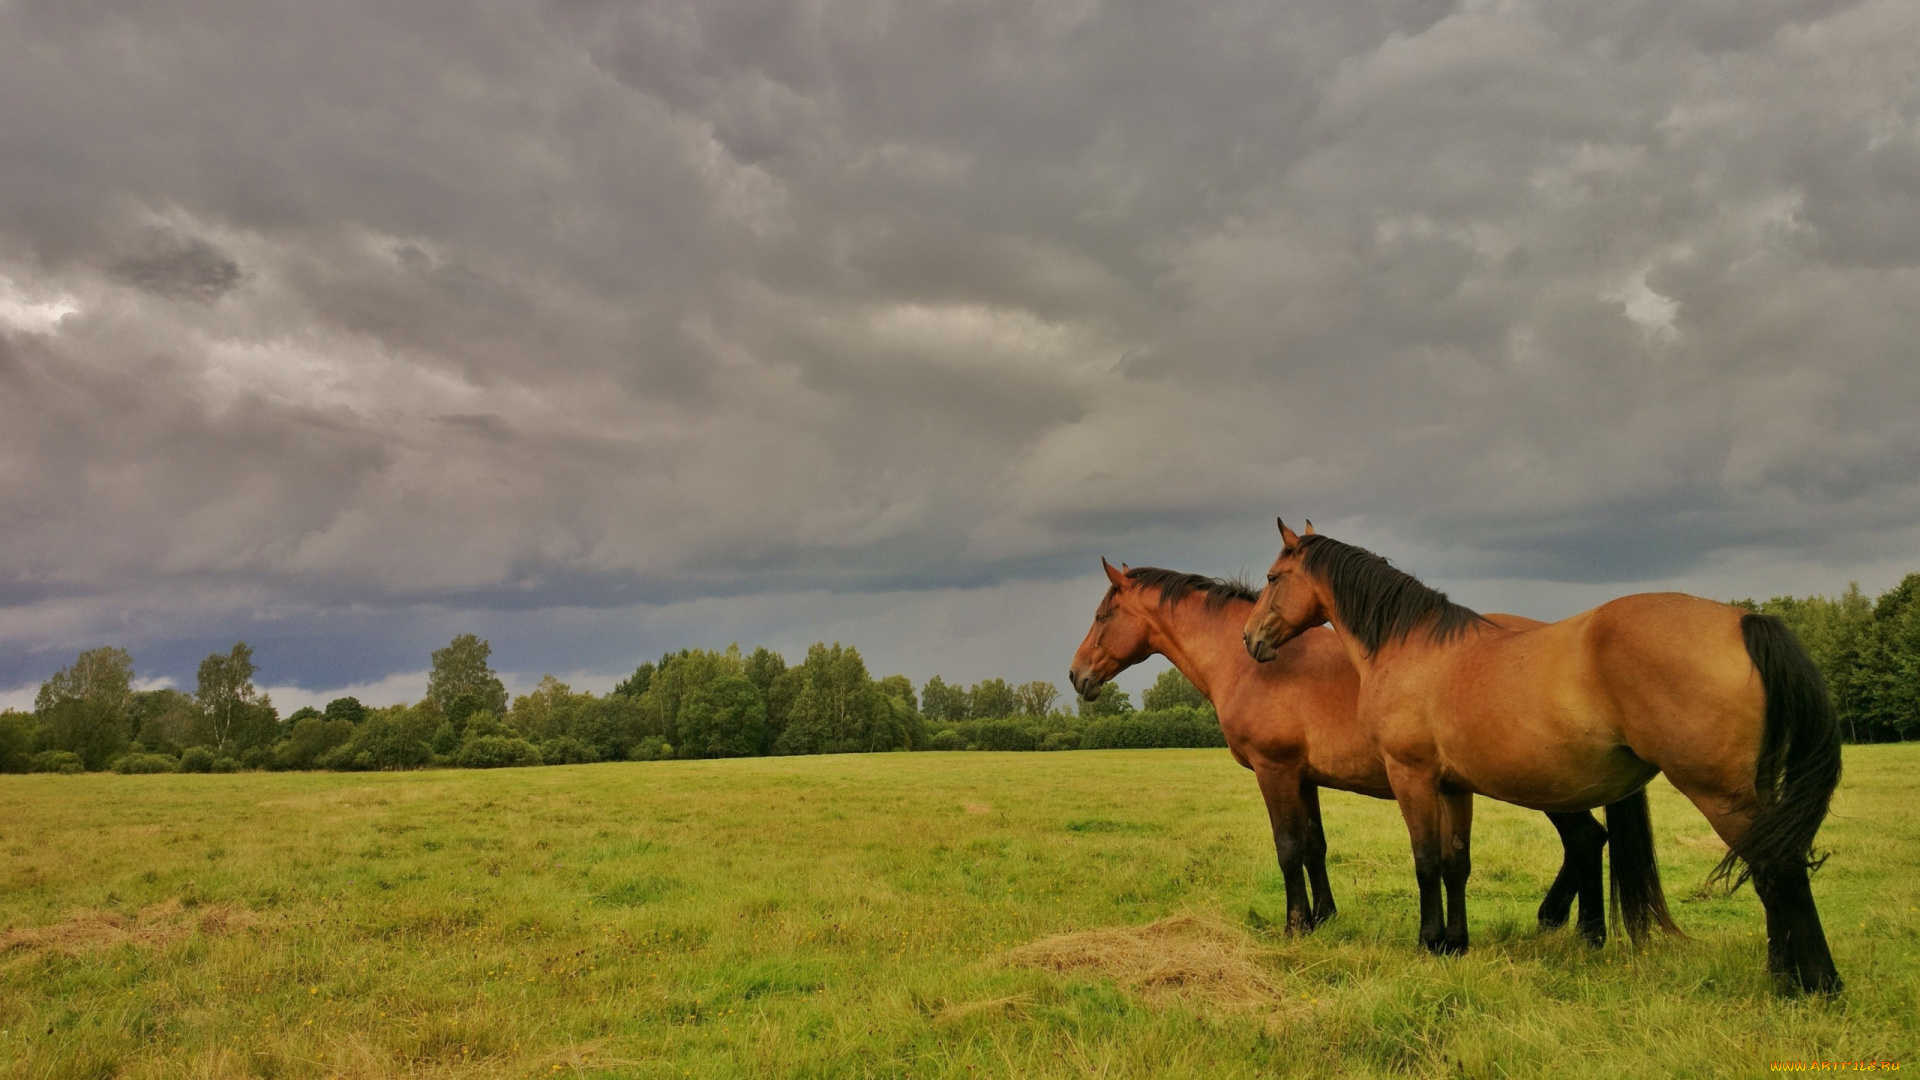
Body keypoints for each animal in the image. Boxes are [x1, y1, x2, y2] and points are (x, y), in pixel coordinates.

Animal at [1059, 553, 1643, 941]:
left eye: (1102, 616)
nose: (1075, 675)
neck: (1248, 663)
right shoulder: (1303, 777)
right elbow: (1314, 845)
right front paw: (1325, 917)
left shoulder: (1274, 770)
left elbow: (1288, 847)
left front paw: (1295, 925)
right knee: (1587, 840)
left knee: (1586, 839)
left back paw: (1581, 931)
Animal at [1244, 522, 1843, 991]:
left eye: (1272, 578)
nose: (1250, 639)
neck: (1408, 647)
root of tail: (1743, 620)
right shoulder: (1452, 786)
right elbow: (1455, 862)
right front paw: (1455, 944)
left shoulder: (1411, 778)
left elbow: (1425, 862)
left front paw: (1428, 942)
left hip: (1719, 792)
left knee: (1776, 870)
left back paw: (1810, 984)